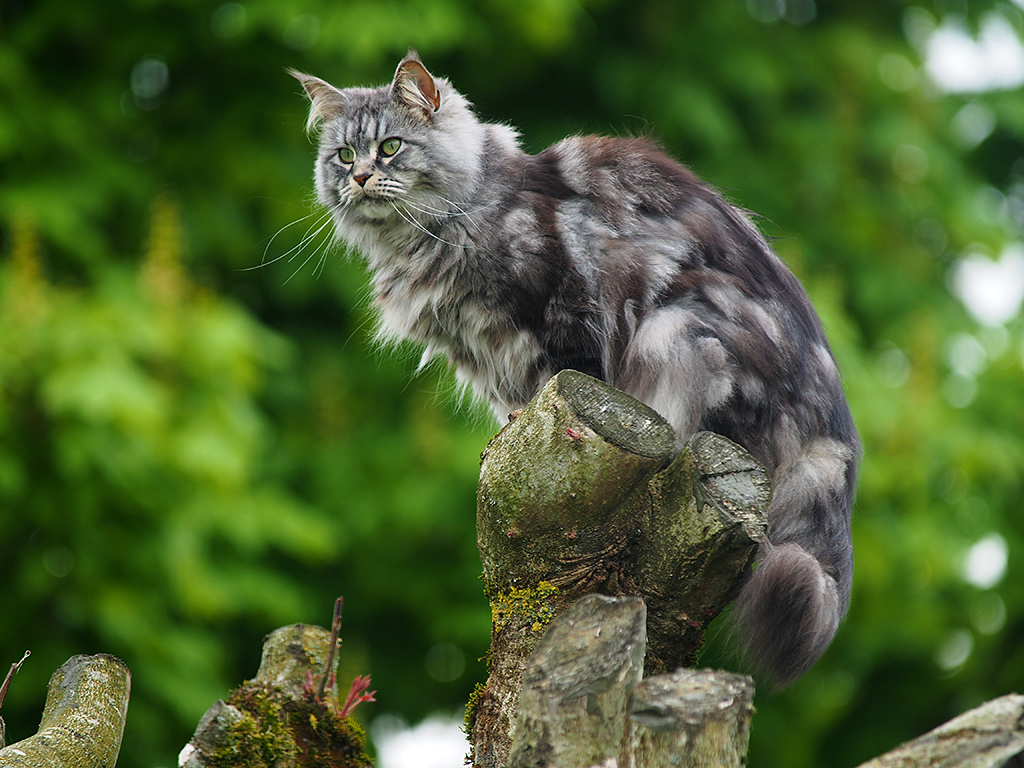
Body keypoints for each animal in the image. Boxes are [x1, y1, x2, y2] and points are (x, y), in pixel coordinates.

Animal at [288, 51, 856, 688]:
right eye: (343, 155)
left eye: (389, 147)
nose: (360, 177)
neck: (435, 232)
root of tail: (827, 436)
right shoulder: (489, 355)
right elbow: (518, 407)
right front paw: (510, 431)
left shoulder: (566, 313)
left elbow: (561, 373)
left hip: (675, 331)